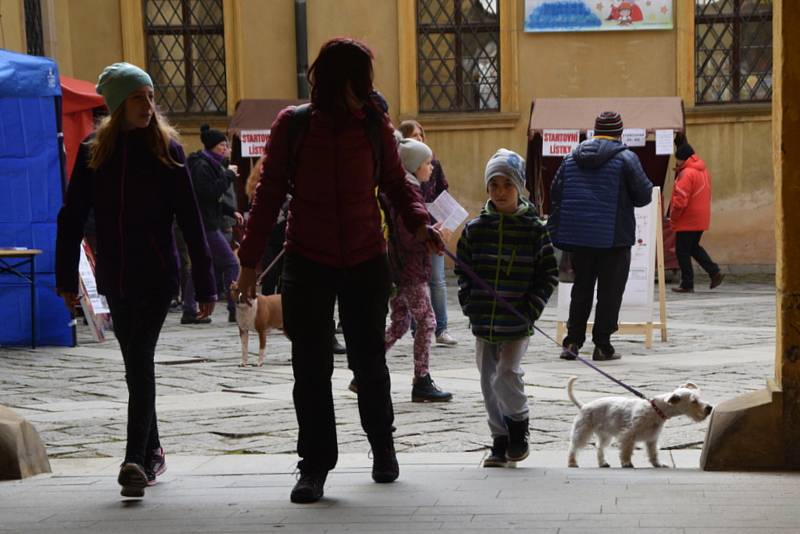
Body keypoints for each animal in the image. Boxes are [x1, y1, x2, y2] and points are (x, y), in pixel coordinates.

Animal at [568, 376, 712, 468]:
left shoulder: (652, 439)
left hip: (605, 436)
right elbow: (626, 450)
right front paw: (626, 463)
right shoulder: (628, 435)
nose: (709, 408)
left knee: (600, 448)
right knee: (574, 447)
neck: (656, 410)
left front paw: (658, 464)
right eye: (693, 401)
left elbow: (653, 453)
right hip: (582, 431)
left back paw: (603, 463)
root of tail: (584, 406)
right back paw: (572, 463)